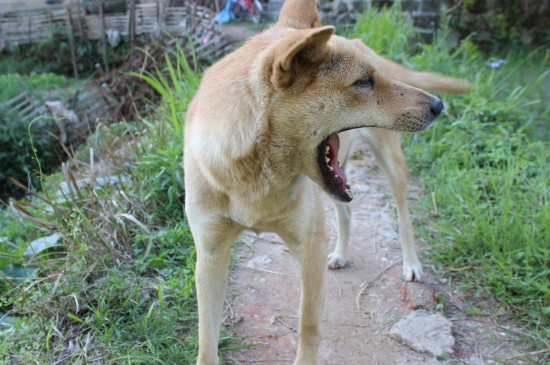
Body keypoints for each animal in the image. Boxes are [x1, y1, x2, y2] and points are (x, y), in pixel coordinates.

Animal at [330, 40, 472, 278]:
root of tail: (355, 41)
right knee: (345, 212)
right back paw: (340, 254)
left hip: (392, 164)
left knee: (404, 216)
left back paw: (411, 263)